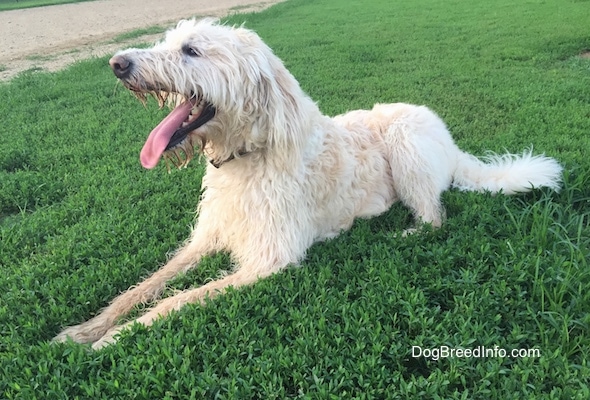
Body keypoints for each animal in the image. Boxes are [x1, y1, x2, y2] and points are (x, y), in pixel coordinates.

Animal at [54, 18, 564, 348]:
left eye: (191, 51)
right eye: (168, 40)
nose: (117, 64)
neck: (246, 157)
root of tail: (449, 140)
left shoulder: (269, 260)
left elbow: (178, 300)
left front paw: (116, 338)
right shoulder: (207, 238)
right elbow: (146, 286)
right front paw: (85, 329)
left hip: (406, 143)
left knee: (436, 216)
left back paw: (404, 231)